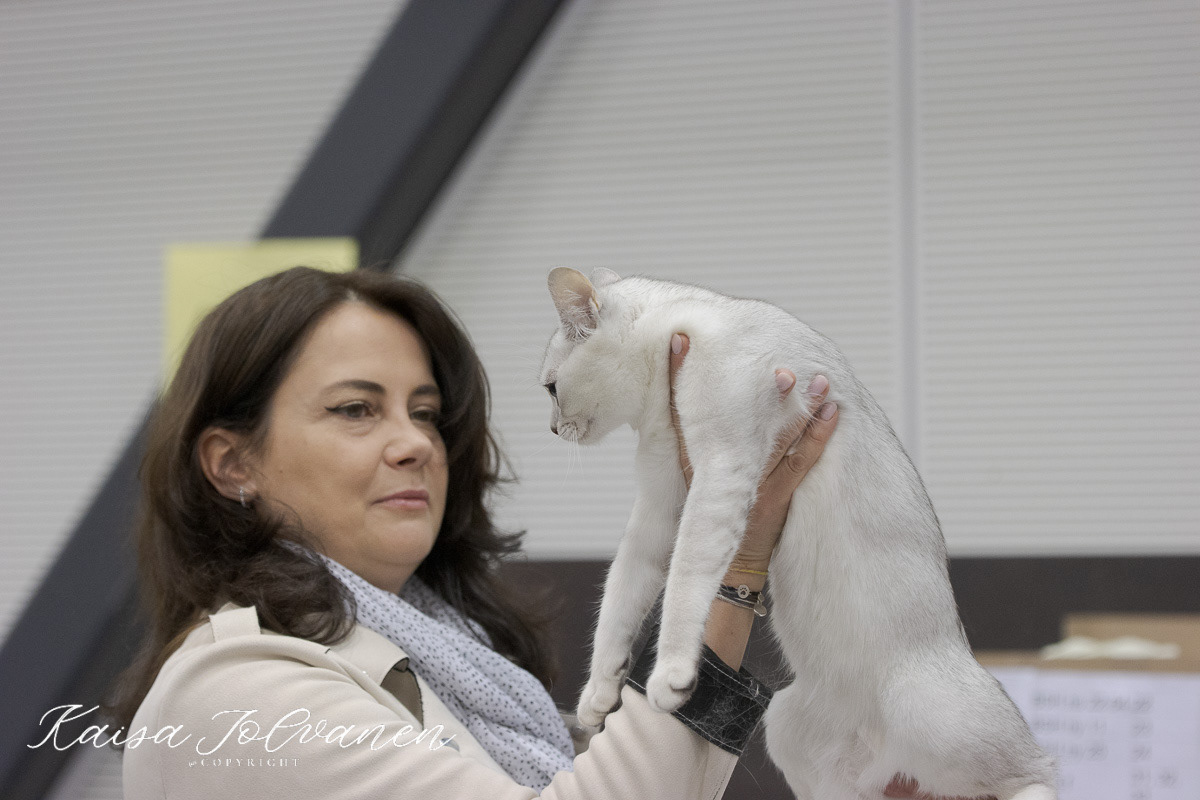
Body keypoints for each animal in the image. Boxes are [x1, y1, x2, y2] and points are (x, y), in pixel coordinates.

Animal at [538, 267, 1057, 800]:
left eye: (551, 389)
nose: (554, 429)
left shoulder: (719, 470)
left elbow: (684, 580)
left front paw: (672, 674)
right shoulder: (661, 505)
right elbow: (620, 594)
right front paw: (599, 692)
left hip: (935, 718)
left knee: (1036, 770)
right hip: (790, 730)